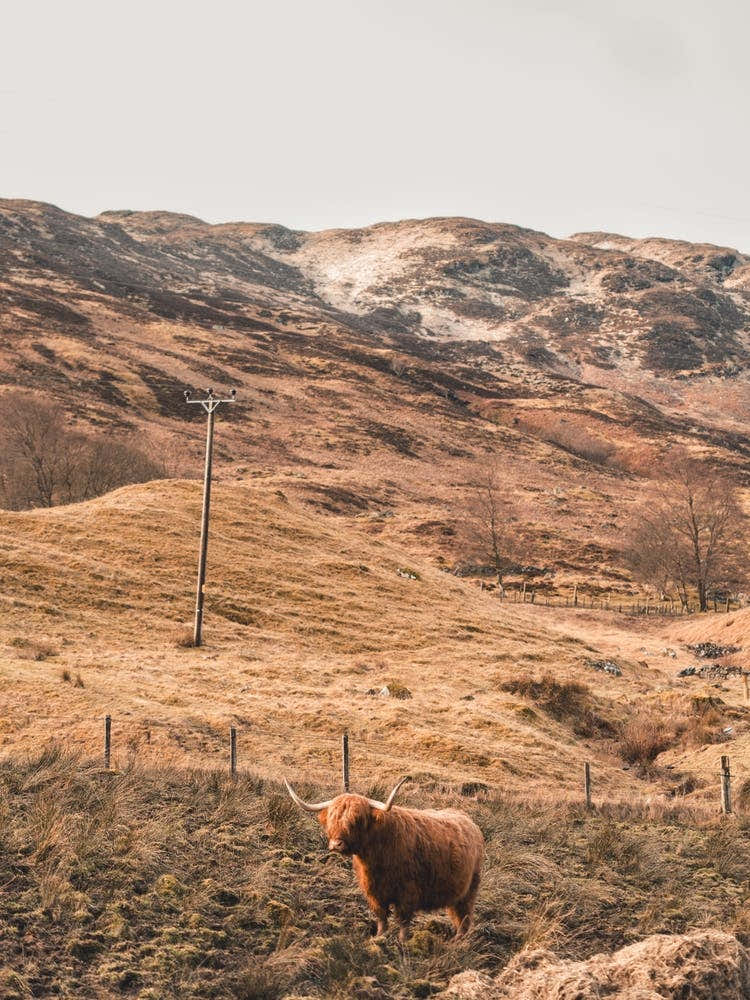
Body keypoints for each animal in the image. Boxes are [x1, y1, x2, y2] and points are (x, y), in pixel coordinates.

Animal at [283, 776, 484, 942]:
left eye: (357, 820)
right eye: (333, 818)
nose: (335, 844)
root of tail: (469, 821)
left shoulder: (408, 891)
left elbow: (403, 919)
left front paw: (402, 942)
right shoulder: (373, 891)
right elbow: (381, 916)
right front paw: (379, 938)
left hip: (470, 888)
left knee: (465, 915)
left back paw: (459, 941)